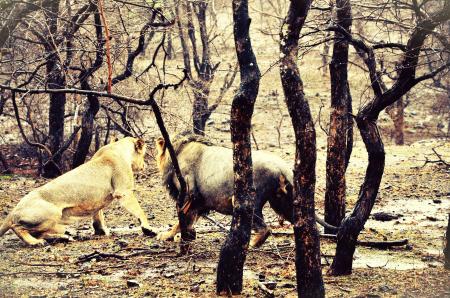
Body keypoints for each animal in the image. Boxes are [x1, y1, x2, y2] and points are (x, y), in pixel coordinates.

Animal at [0, 136, 156, 246]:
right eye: (144, 154)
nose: (145, 165)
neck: (117, 148)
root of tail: (14, 210)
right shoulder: (124, 192)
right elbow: (140, 211)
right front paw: (148, 228)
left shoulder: (99, 200)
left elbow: (98, 215)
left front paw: (101, 231)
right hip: (52, 213)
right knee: (18, 227)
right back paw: (35, 243)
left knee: (41, 233)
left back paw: (63, 238)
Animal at [156, 132, 336, 248]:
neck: (178, 152)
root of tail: (281, 164)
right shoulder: (200, 202)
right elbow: (187, 220)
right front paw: (182, 235)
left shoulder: (188, 193)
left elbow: (182, 219)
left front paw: (170, 235)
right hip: (283, 202)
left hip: (246, 200)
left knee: (266, 229)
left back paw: (251, 244)